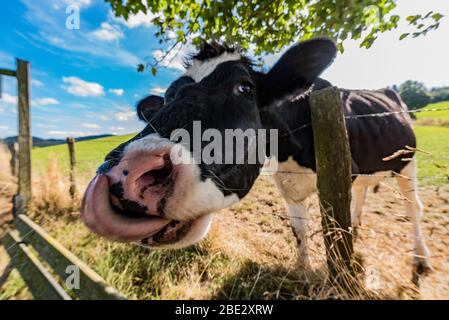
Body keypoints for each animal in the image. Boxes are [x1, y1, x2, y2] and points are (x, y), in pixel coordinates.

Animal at [81, 39, 430, 276]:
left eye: (245, 87)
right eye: (166, 98)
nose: (127, 172)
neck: (290, 153)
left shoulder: (340, 178)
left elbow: (334, 231)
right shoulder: (288, 186)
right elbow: (299, 229)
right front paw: (301, 268)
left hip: (407, 162)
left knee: (414, 207)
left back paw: (421, 258)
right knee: (363, 196)